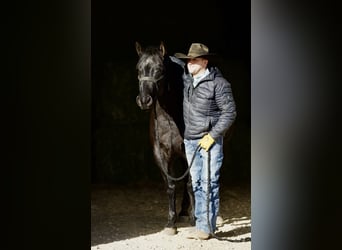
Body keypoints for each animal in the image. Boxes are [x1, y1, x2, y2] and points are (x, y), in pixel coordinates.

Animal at [134, 41, 194, 234]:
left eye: (159, 69)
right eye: (138, 69)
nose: (144, 100)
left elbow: (191, 184)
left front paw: (194, 219)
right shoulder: (161, 155)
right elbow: (171, 185)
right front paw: (171, 223)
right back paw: (183, 212)